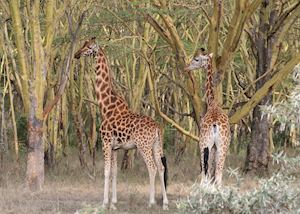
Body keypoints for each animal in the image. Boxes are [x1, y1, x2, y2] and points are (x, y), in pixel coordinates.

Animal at [74, 36, 169, 209]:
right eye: (83, 44)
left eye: (89, 47)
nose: (77, 54)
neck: (105, 106)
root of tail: (157, 128)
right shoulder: (115, 148)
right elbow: (114, 172)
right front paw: (113, 203)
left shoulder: (105, 143)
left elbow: (106, 171)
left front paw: (104, 203)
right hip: (156, 145)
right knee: (161, 167)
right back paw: (165, 203)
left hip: (144, 146)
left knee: (152, 168)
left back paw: (151, 202)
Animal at [185, 48, 230, 186]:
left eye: (196, 59)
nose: (186, 67)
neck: (212, 103)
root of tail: (215, 125)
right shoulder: (215, 147)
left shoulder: (209, 146)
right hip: (221, 147)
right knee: (218, 176)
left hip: (205, 144)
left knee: (206, 175)